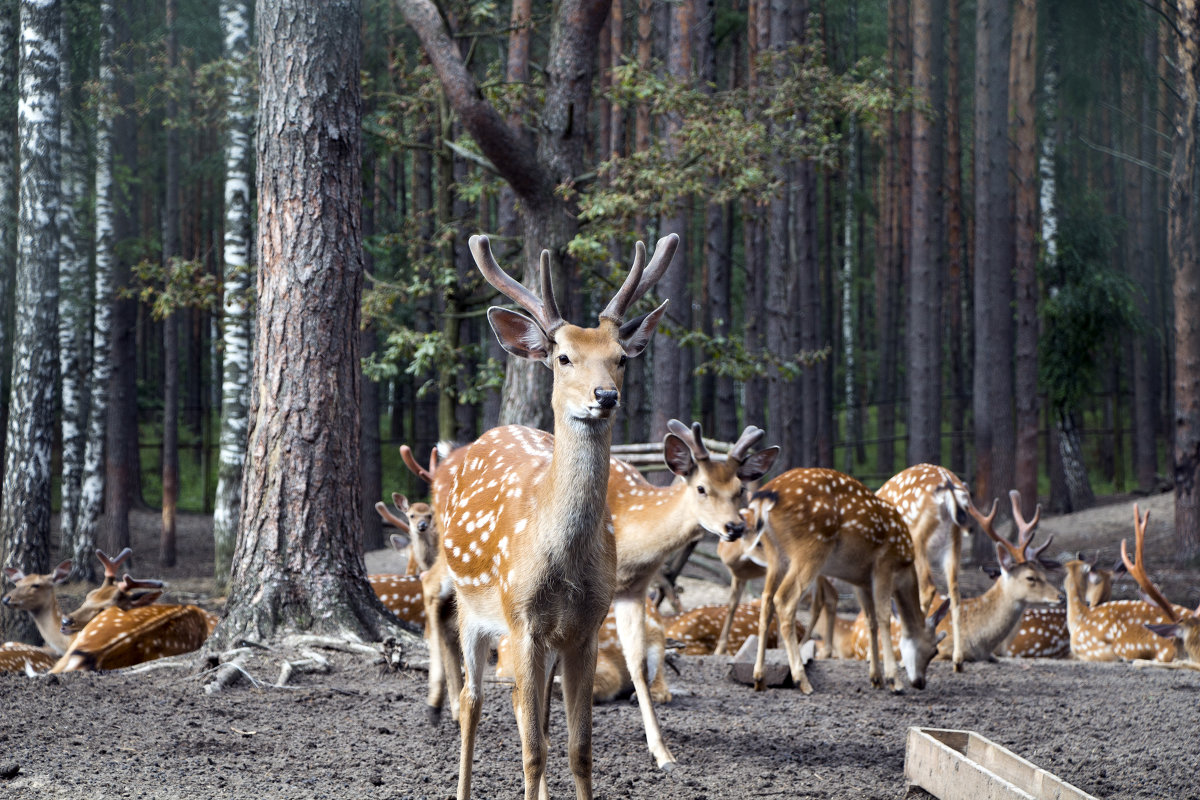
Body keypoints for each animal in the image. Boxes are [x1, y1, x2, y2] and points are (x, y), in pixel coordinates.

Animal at [432, 232, 676, 800]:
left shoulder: (584, 627)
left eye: (620, 358)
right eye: (563, 357)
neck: (560, 562)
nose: (604, 396)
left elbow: (577, 748)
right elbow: (532, 750)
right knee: (472, 702)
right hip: (474, 609)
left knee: (536, 712)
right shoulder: (521, 621)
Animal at [739, 470, 945, 695]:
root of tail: (764, 497)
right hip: (811, 548)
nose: (920, 683)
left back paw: (759, 678)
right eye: (934, 650)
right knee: (784, 600)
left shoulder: (861, 581)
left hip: (776, 555)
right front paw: (894, 681)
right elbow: (884, 616)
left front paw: (876, 678)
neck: (905, 567)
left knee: (767, 601)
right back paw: (802, 681)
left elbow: (870, 620)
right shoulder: (884, 565)